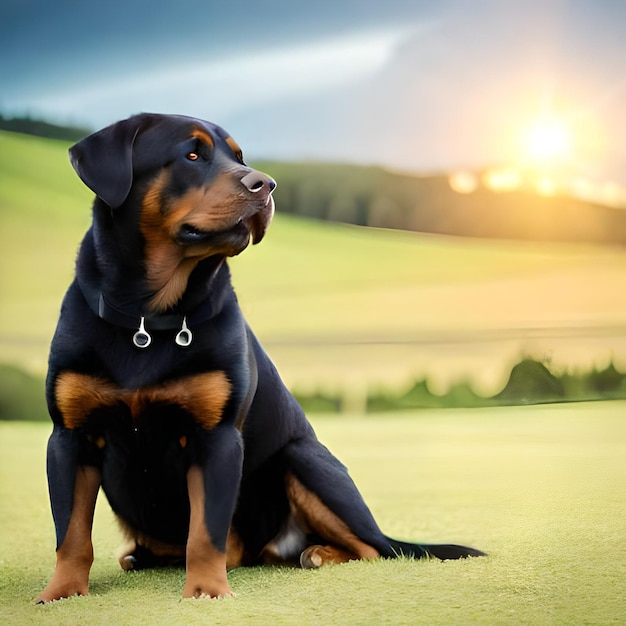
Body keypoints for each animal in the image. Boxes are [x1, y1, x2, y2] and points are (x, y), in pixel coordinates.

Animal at [36, 113, 482, 600]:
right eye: (192, 154)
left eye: (239, 157)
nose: (265, 184)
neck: (148, 319)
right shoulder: (69, 437)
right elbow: (71, 533)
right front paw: (60, 593)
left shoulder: (217, 437)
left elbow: (206, 532)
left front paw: (207, 593)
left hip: (304, 459)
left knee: (375, 549)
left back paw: (319, 553)